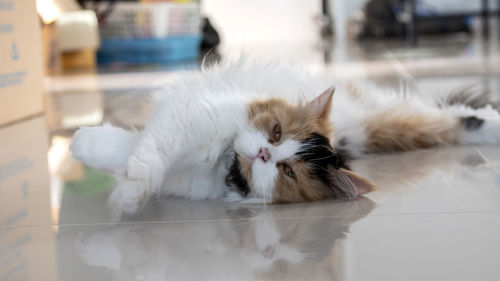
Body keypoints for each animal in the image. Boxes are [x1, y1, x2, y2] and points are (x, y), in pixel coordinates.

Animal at [69, 59, 500, 212]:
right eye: (275, 133)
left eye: (287, 171)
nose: (262, 152)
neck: (221, 163)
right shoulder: (185, 117)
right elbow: (142, 148)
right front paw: (85, 145)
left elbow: (139, 156)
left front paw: (128, 192)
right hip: (376, 123)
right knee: (447, 118)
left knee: (454, 120)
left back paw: (491, 127)